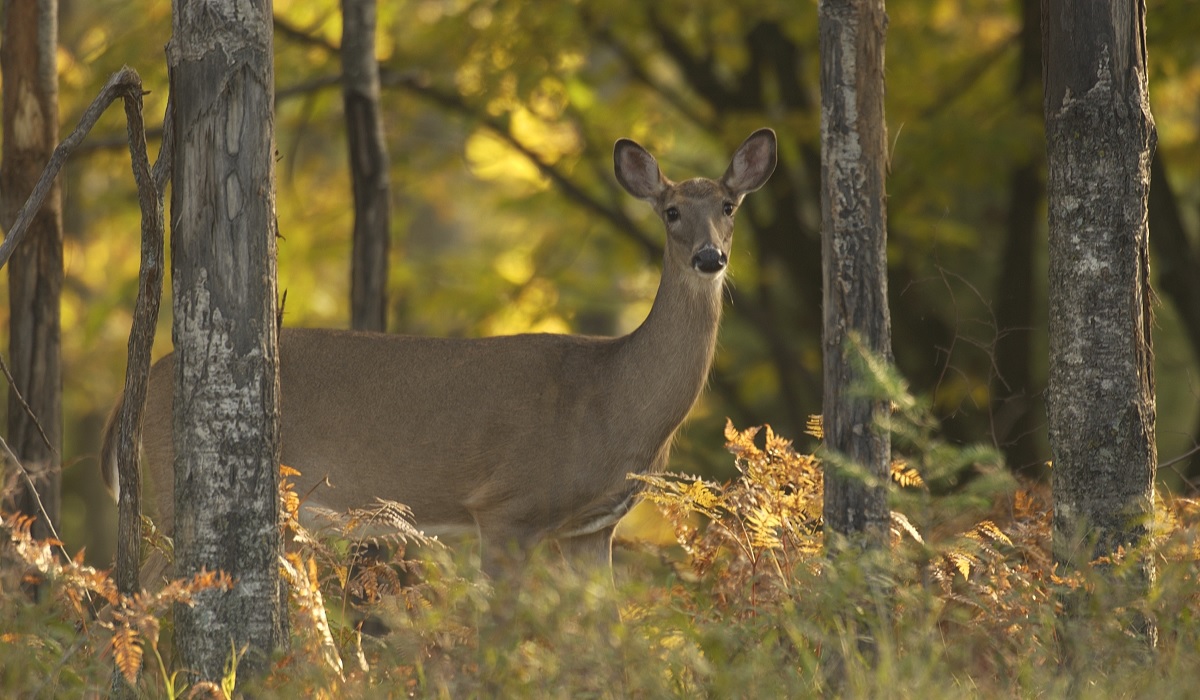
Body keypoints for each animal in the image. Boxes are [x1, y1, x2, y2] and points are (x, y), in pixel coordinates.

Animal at [100, 126, 777, 581]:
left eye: (728, 206)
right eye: (671, 211)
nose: (710, 257)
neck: (616, 397)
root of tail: (144, 382)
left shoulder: (593, 528)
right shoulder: (506, 506)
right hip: (176, 490)